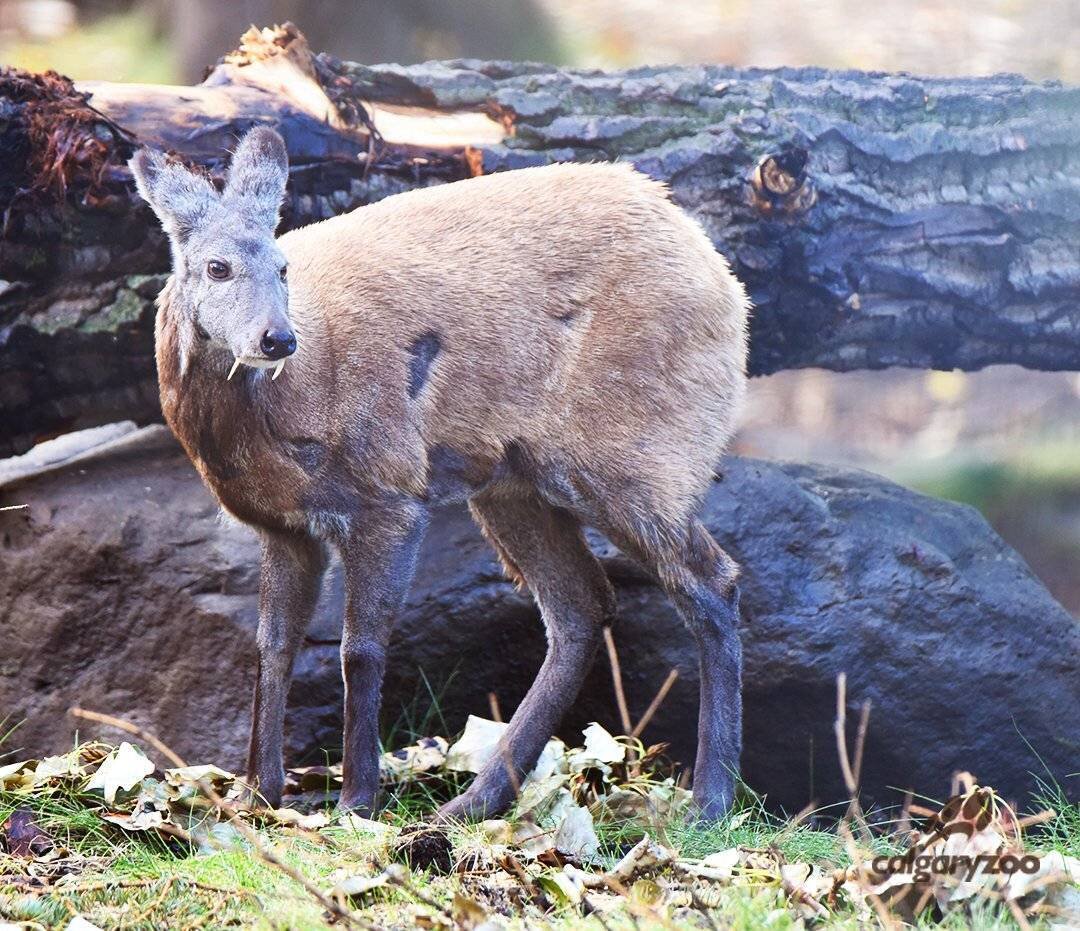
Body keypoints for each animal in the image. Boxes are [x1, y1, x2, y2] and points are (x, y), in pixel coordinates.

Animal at [128, 125, 751, 825]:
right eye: (217, 266)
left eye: (282, 266)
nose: (277, 339)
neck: (273, 424)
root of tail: (724, 280)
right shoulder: (284, 527)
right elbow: (272, 647)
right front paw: (255, 795)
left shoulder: (390, 493)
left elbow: (359, 648)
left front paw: (356, 801)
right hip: (516, 482)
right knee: (581, 606)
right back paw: (473, 801)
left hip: (636, 455)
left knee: (710, 581)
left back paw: (711, 800)